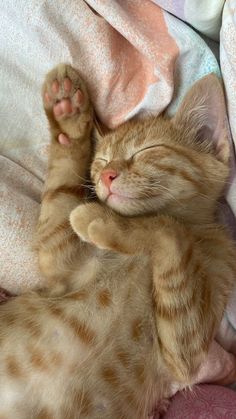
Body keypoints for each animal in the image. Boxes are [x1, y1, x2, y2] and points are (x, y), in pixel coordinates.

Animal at [0, 64, 235, 418]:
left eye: (146, 151)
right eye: (100, 160)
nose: (106, 176)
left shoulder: (186, 353)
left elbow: (169, 228)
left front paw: (104, 222)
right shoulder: (59, 255)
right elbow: (61, 190)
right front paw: (68, 116)